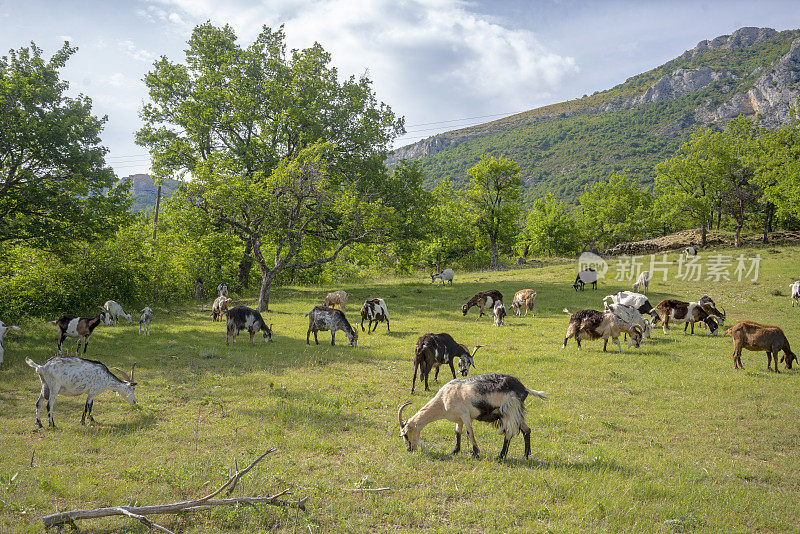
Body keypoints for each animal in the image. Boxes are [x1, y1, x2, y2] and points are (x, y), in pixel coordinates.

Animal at [398, 374, 548, 462]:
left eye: (405, 434)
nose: (409, 449)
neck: (443, 399)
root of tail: (524, 389)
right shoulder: (458, 418)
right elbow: (458, 432)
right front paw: (455, 451)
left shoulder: (465, 415)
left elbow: (470, 432)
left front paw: (475, 453)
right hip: (516, 413)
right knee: (526, 430)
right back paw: (526, 455)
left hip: (508, 411)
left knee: (508, 433)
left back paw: (500, 456)